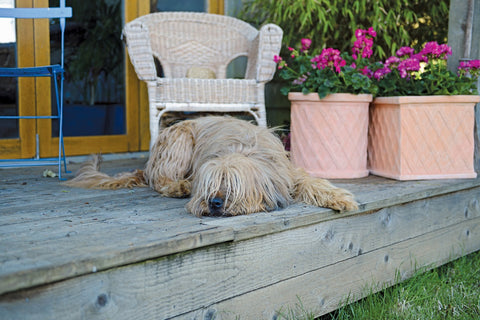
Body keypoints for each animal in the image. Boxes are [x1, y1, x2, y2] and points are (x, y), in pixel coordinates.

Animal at [63, 116, 358, 216]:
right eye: (210, 185)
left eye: (234, 185)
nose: (214, 203)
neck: (245, 150)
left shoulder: (290, 173)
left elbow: (312, 182)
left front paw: (341, 199)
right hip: (179, 139)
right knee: (160, 180)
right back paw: (178, 186)